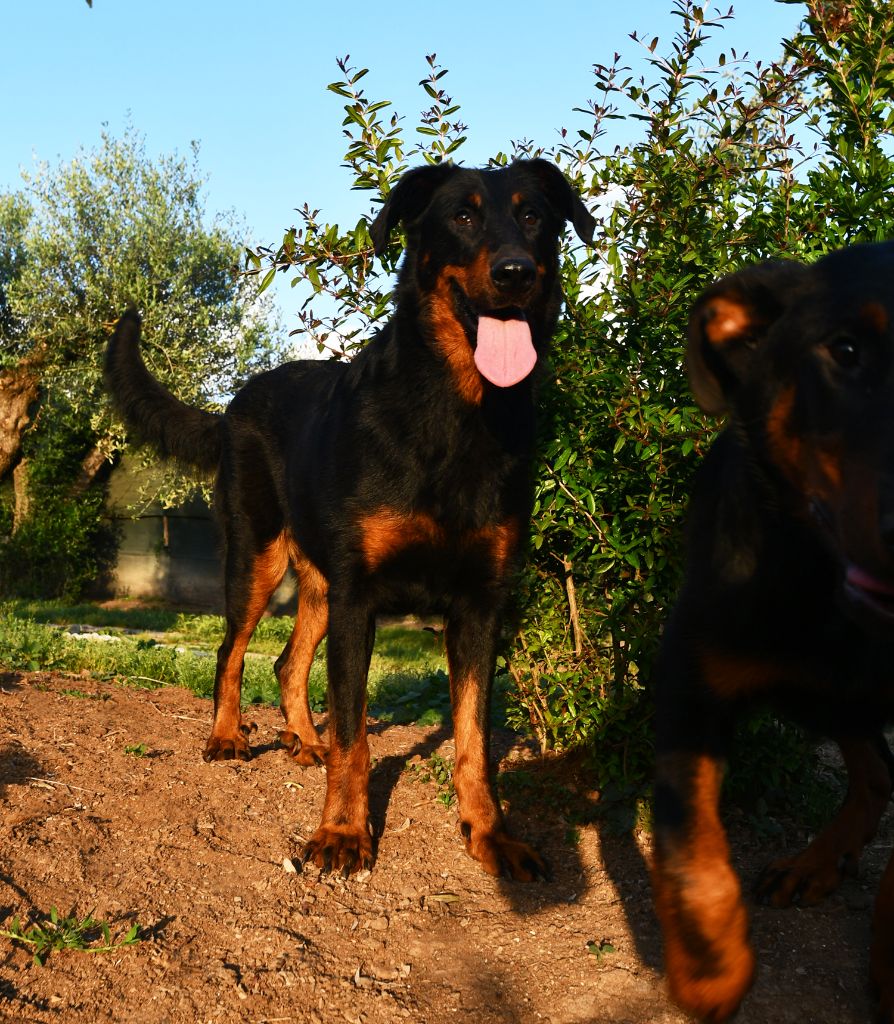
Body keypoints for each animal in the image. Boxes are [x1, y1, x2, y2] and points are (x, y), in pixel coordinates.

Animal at [104, 155, 593, 876]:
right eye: (463, 215)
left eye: (534, 216)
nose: (515, 272)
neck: (456, 413)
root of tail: (232, 406)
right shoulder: (360, 596)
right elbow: (355, 735)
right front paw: (341, 832)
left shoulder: (477, 605)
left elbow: (473, 739)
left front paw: (489, 834)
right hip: (258, 557)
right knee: (231, 649)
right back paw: (226, 737)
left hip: (318, 580)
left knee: (286, 663)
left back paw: (303, 740)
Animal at [651, 241, 892, 1024]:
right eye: (844, 350)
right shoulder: (689, 675)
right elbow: (689, 840)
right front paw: (709, 965)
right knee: (876, 771)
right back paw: (814, 864)